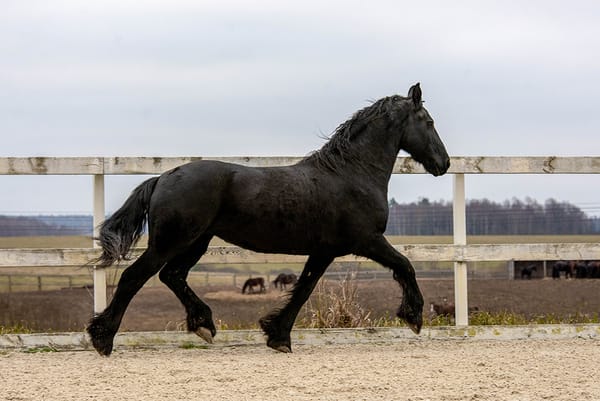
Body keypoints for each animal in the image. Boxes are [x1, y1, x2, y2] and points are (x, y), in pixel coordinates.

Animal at [85, 83, 450, 354]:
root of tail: (162, 177)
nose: (443, 163)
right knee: (135, 277)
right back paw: (102, 339)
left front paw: (277, 335)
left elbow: (303, 288)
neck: (351, 174)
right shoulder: (367, 240)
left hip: (196, 241)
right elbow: (405, 265)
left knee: (172, 276)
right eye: (430, 122)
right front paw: (413, 317)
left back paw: (203, 324)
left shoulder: (324, 251)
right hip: (171, 241)